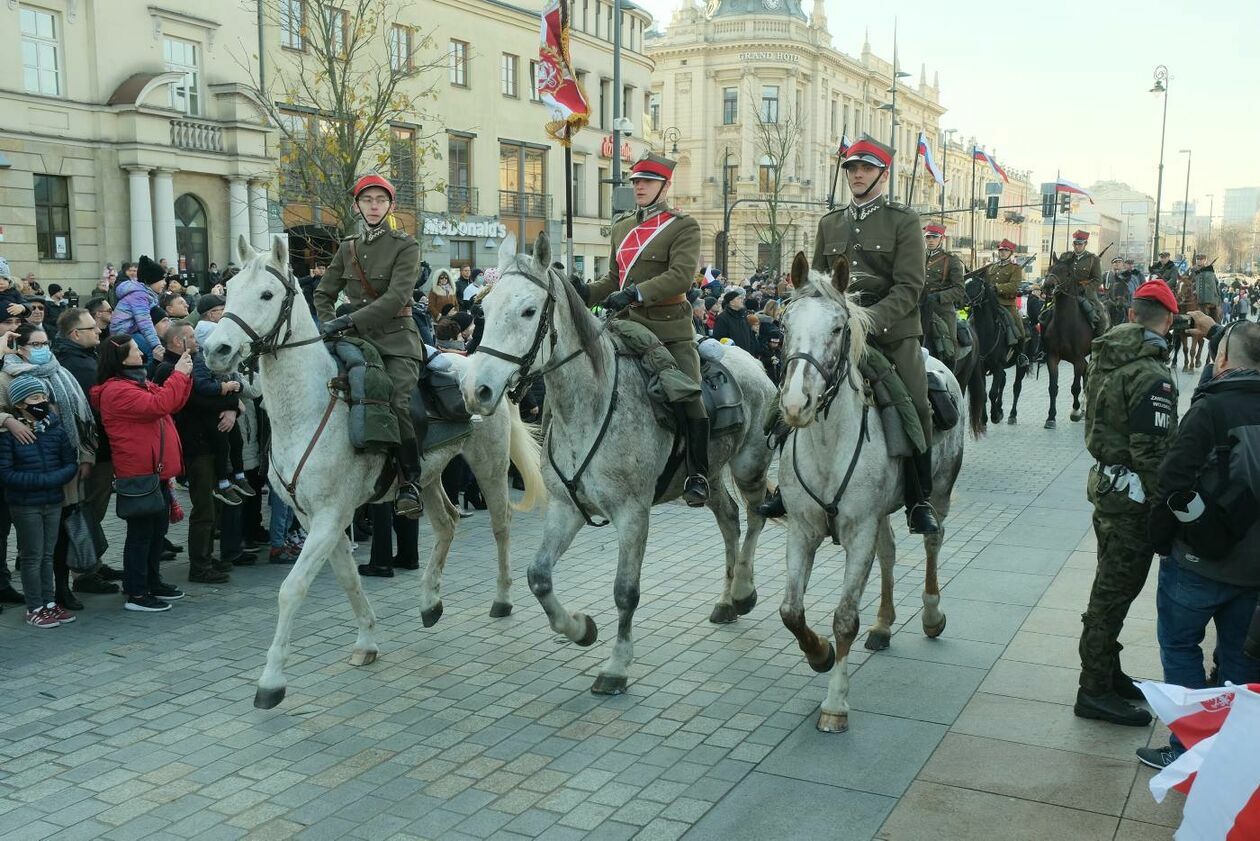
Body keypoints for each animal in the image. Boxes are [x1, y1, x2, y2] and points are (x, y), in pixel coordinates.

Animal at [204, 232, 544, 711]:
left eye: (267, 295)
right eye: (229, 291)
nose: (215, 351)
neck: (310, 406)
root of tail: (477, 367)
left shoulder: (330, 516)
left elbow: (292, 589)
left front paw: (270, 681)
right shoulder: (317, 518)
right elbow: (347, 578)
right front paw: (366, 640)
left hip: (489, 465)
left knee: (501, 525)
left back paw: (501, 597)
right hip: (426, 475)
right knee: (447, 523)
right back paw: (430, 602)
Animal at [463, 232, 776, 696]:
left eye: (528, 310)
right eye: (483, 310)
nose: (476, 390)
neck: (588, 408)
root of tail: (751, 361)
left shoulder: (632, 514)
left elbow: (626, 592)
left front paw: (616, 666)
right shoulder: (567, 508)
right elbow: (538, 576)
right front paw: (579, 628)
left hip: (749, 465)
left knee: (754, 517)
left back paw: (741, 591)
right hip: (710, 475)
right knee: (729, 519)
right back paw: (725, 602)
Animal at [776, 253, 962, 731]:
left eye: (839, 328)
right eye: (785, 324)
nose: (796, 404)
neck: (828, 443)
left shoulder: (857, 532)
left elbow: (844, 618)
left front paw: (835, 703)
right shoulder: (801, 530)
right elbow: (791, 611)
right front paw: (818, 654)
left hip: (938, 493)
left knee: (933, 541)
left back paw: (932, 615)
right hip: (880, 515)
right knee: (890, 552)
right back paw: (883, 625)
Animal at [1043, 254, 1093, 428]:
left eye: (1068, 273)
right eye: (1050, 269)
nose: (1048, 286)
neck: (1065, 324)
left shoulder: (1077, 359)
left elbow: (1075, 387)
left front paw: (1075, 411)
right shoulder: (1052, 357)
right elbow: (1052, 387)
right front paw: (1051, 417)